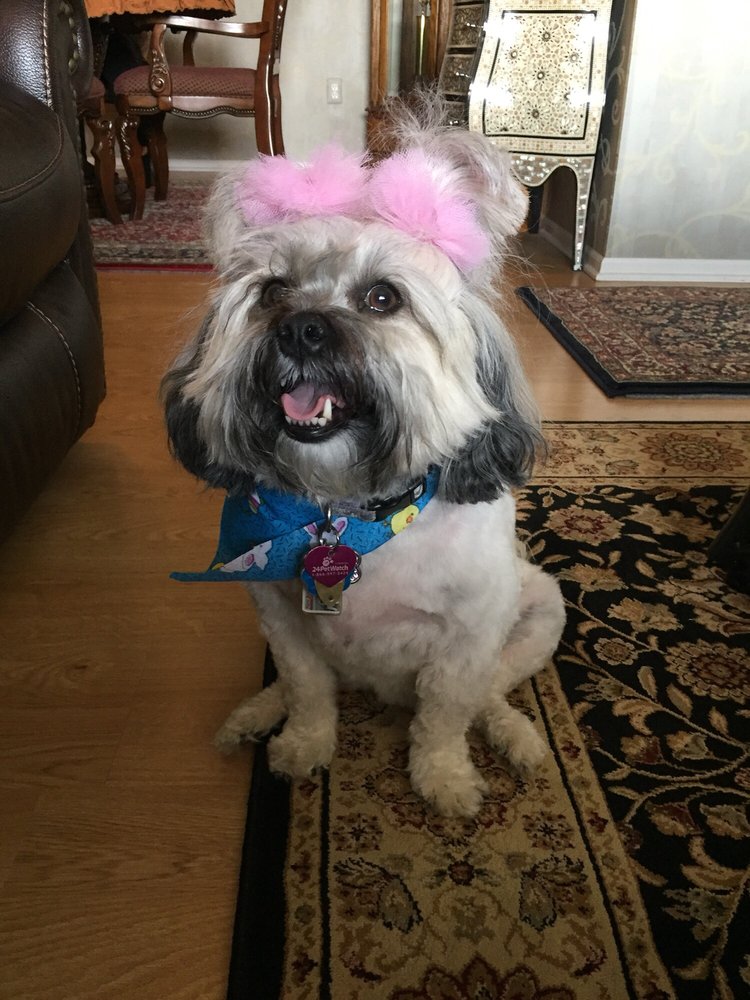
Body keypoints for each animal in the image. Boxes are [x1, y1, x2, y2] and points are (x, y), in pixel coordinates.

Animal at [162, 99, 565, 817]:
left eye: (383, 297)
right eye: (272, 292)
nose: (301, 328)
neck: (351, 513)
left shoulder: (467, 641)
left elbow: (446, 715)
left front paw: (443, 778)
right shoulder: (281, 619)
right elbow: (308, 689)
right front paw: (302, 744)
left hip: (542, 610)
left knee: (491, 689)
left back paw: (513, 731)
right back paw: (258, 712)